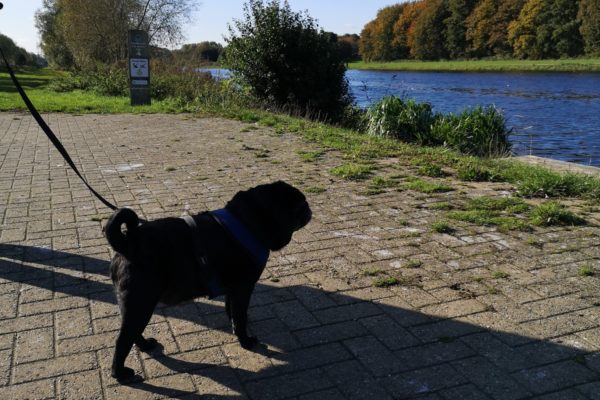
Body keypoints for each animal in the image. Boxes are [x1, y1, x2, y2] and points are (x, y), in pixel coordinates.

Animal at [105, 180, 312, 382]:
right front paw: (245, 340)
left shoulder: (232, 290)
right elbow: (240, 316)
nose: (309, 209)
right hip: (141, 303)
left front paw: (235, 326)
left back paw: (145, 346)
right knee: (123, 339)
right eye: (300, 206)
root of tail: (128, 243)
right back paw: (120, 373)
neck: (247, 222)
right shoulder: (243, 288)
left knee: (133, 333)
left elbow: (233, 311)